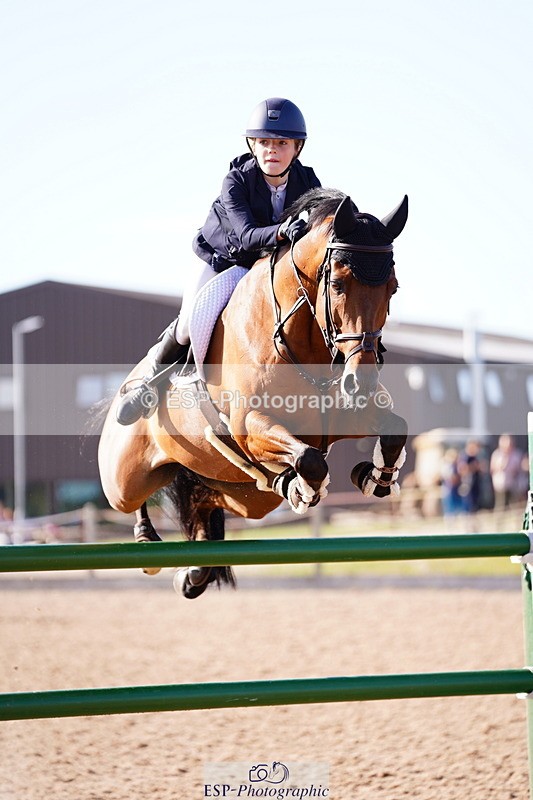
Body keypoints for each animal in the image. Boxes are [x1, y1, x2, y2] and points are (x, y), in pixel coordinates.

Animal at [98, 188, 409, 598]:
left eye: (393, 288)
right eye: (338, 285)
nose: (363, 383)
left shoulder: (344, 416)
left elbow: (394, 430)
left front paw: (374, 477)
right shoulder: (249, 425)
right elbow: (310, 459)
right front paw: (303, 490)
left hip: (241, 496)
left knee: (207, 506)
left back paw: (195, 571)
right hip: (123, 481)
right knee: (132, 500)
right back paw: (148, 536)